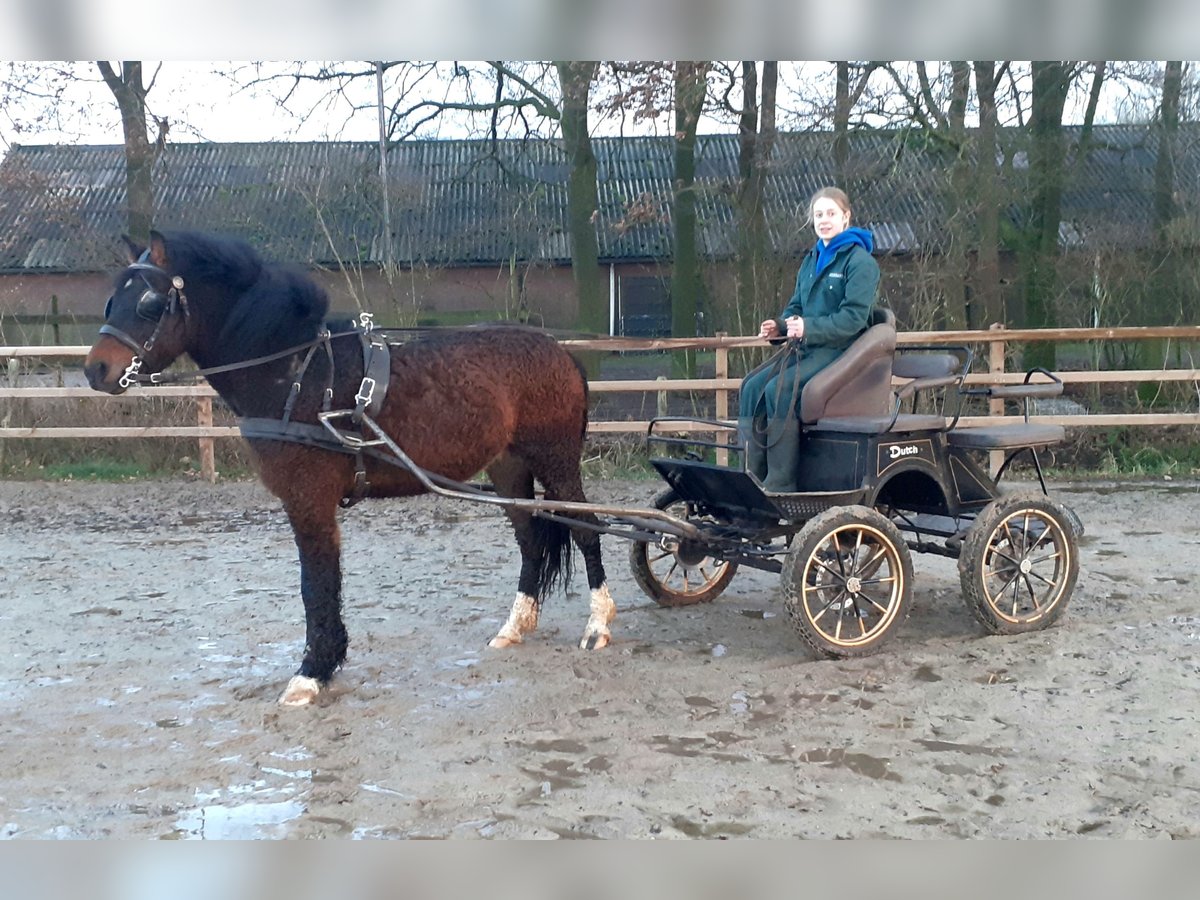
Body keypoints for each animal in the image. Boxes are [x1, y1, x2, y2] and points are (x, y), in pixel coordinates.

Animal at [82, 229, 619, 710]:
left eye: (149, 302)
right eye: (112, 298)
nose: (96, 370)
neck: (299, 374)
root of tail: (560, 352)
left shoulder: (308, 499)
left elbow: (316, 583)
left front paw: (311, 674)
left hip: (555, 458)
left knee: (586, 528)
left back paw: (598, 625)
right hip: (508, 469)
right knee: (531, 540)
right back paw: (513, 628)